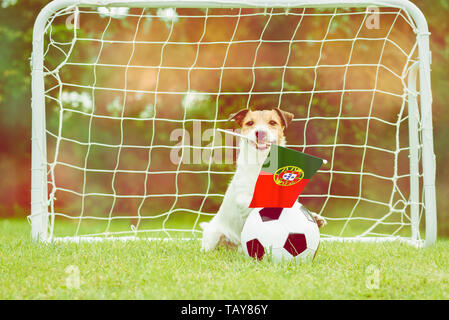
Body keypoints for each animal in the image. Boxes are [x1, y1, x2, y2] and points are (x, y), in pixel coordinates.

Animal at [200, 109, 326, 251]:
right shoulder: (244, 199)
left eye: (272, 122)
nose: (260, 132)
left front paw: (314, 217)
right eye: (250, 123)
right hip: (214, 235)